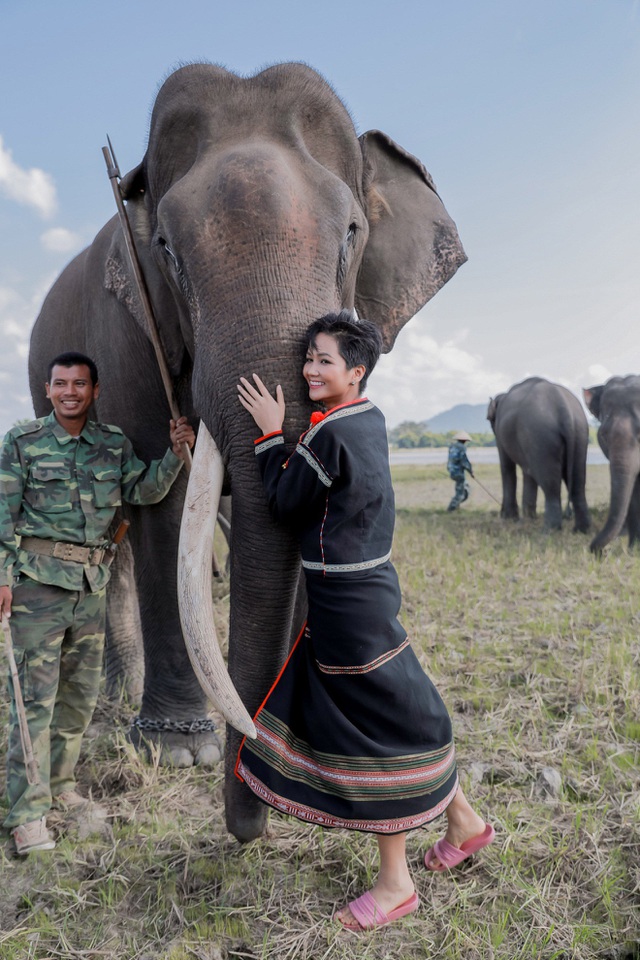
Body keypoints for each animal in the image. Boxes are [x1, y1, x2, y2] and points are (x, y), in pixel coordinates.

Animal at [28, 62, 464, 840]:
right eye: (166, 250)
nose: (246, 820)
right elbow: (165, 501)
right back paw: (122, 705)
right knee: (116, 541)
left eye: (352, 233)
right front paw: (182, 752)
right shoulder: (125, 333)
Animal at [490, 376, 592, 532]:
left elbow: (507, 468)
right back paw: (581, 530)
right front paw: (527, 520)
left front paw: (510, 519)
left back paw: (549, 530)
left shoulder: (501, 435)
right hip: (580, 432)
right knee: (577, 482)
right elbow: (528, 472)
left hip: (540, 435)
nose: (499, 513)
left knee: (550, 484)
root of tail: (563, 408)